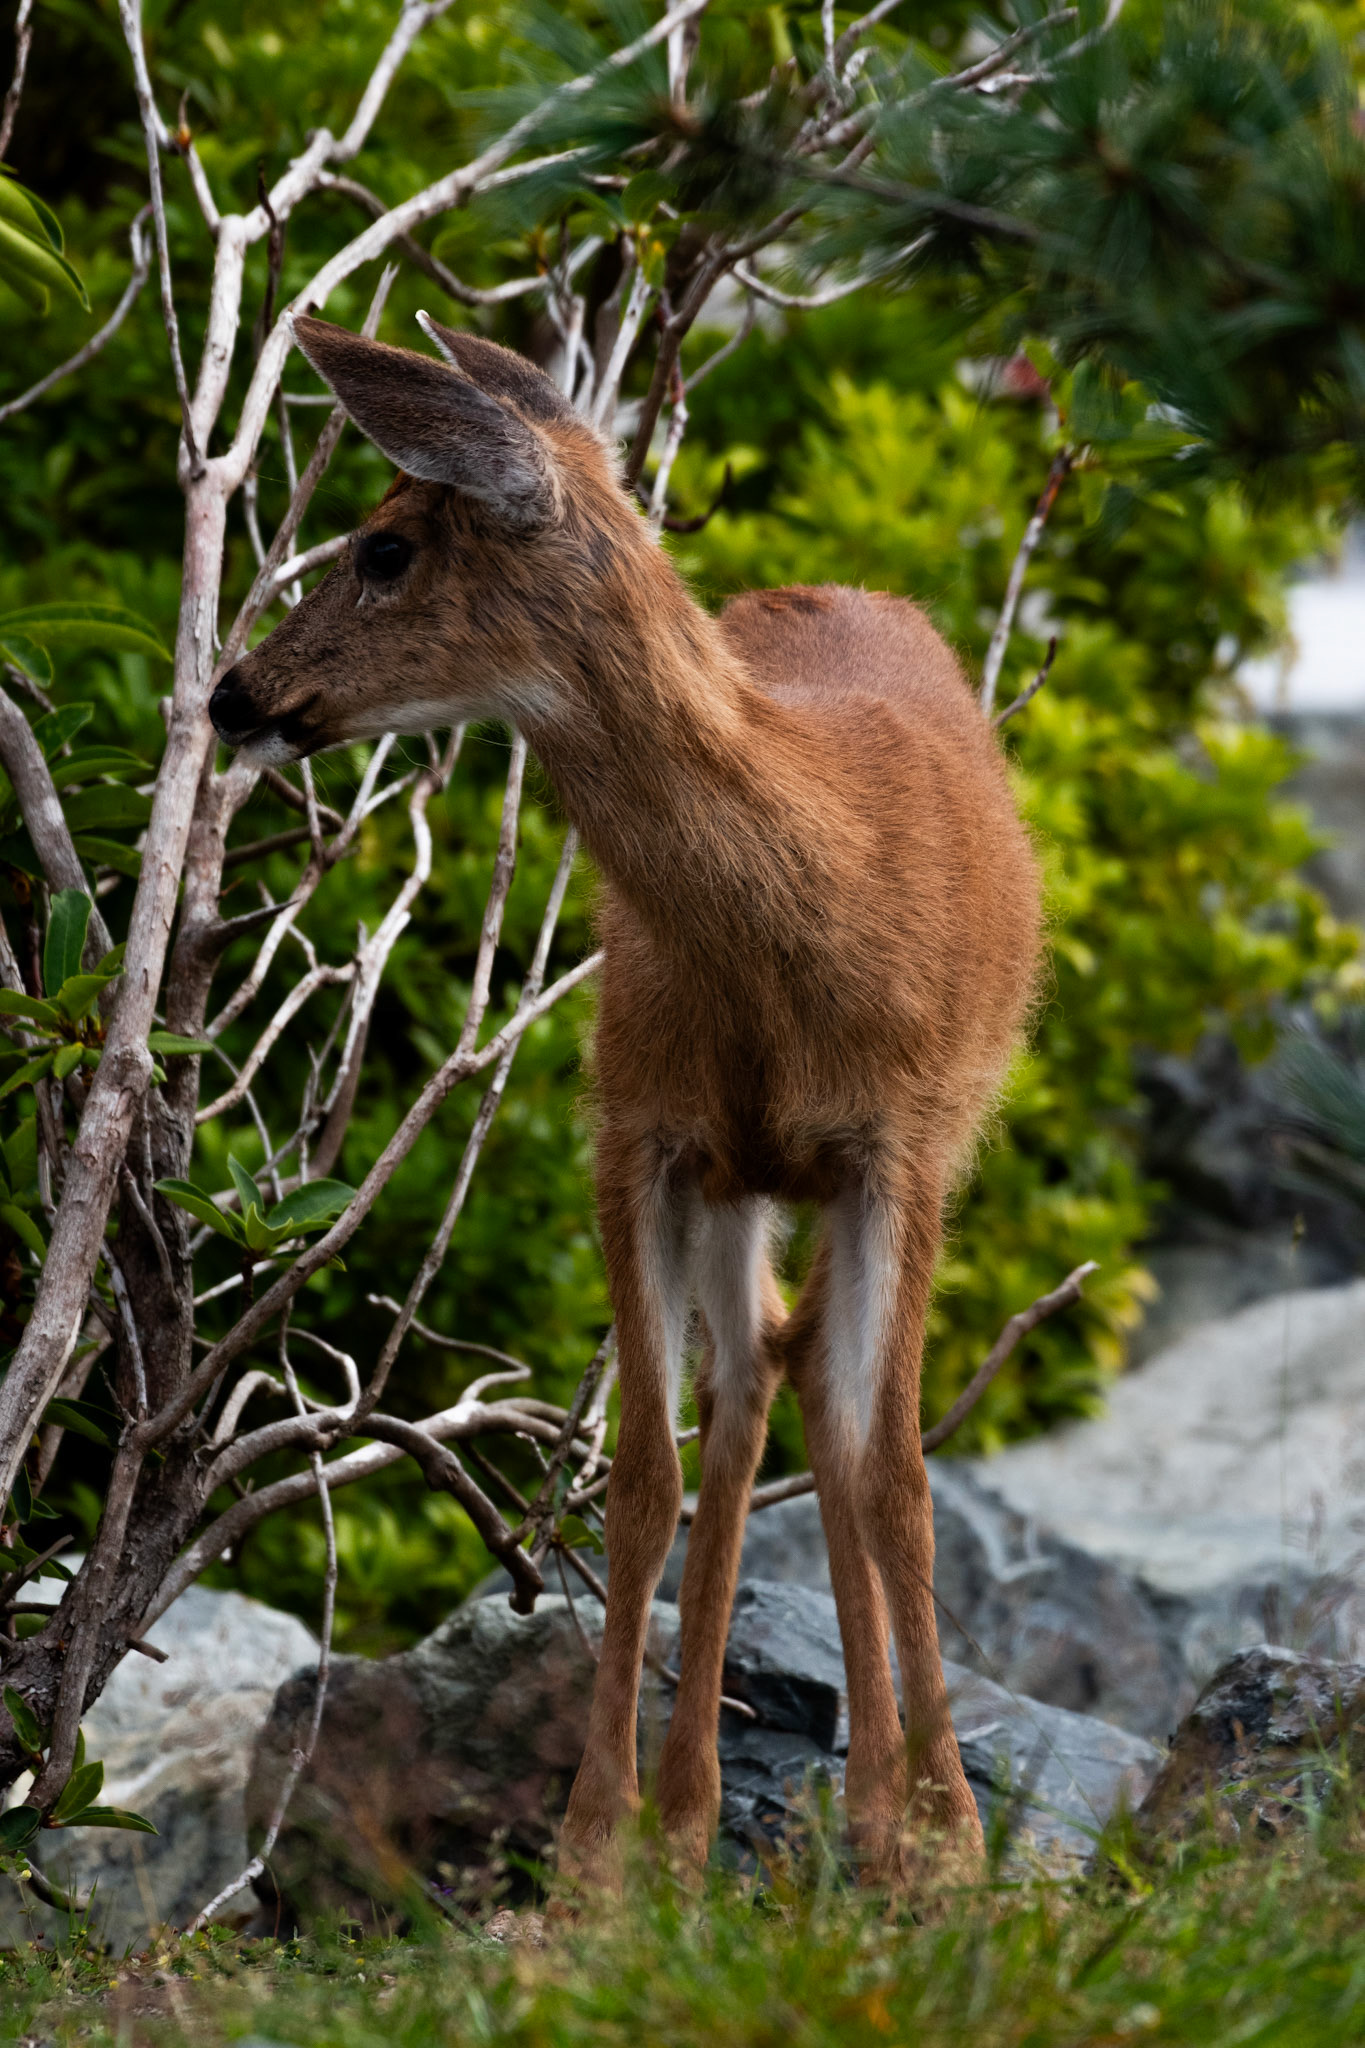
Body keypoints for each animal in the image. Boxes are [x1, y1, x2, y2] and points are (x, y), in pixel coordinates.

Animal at [208, 314, 1043, 1888]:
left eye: (387, 546)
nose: (233, 695)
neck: (800, 934)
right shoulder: (642, 1133)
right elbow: (648, 1475)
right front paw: (596, 1853)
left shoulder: (901, 1148)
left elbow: (899, 1474)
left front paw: (952, 1845)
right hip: (736, 1179)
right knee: (755, 1386)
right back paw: (705, 1814)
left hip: (884, 1157)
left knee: (823, 1409)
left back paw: (869, 1811)